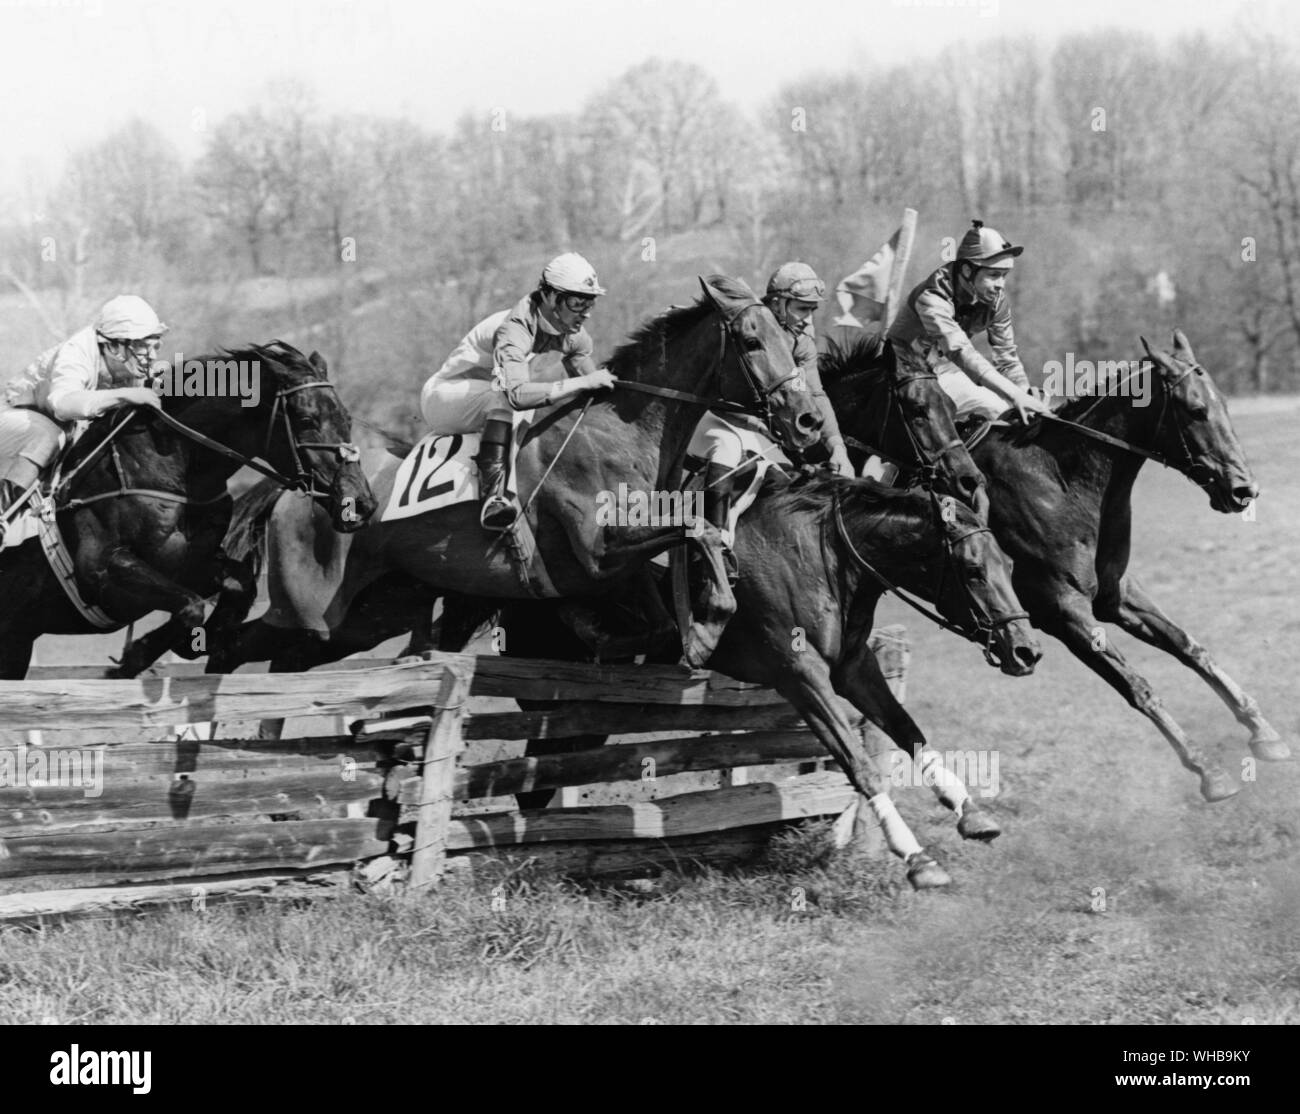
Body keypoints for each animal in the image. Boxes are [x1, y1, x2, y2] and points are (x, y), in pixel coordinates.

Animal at [0, 340, 377, 675]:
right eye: (306, 419)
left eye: (346, 419)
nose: (359, 503)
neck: (164, 468)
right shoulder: (101, 569)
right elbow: (191, 605)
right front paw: (136, 657)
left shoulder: (190, 564)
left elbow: (239, 584)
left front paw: (203, 642)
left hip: (16, 642)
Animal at [211, 274, 821, 675]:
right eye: (751, 341)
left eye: (789, 340)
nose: (808, 420)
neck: (622, 431)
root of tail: (298, 487)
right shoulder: (599, 548)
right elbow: (698, 530)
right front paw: (707, 629)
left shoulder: (613, 571)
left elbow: (666, 607)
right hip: (309, 606)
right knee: (233, 646)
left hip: (363, 615)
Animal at [821, 330, 1268, 800]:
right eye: (1196, 410)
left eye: (1224, 404)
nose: (1244, 490)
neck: (1062, 480)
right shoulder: (1062, 609)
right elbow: (1137, 686)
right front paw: (1209, 771)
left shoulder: (1116, 593)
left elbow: (1189, 647)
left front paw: (1263, 730)